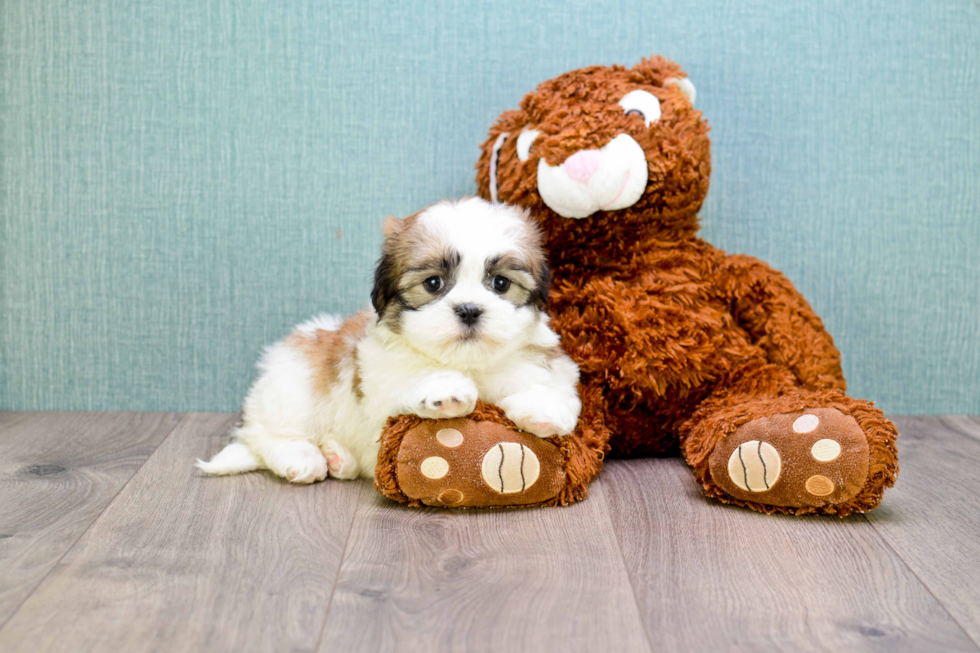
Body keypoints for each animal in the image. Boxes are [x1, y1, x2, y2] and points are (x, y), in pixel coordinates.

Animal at [199, 199, 580, 484]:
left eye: (501, 283)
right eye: (433, 283)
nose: (469, 310)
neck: (466, 362)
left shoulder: (549, 364)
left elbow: (553, 386)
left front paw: (542, 408)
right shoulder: (378, 382)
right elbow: (407, 379)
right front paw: (446, 389)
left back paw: (339, 458)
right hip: (293, 385)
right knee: (263, 434)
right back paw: (302, 456)